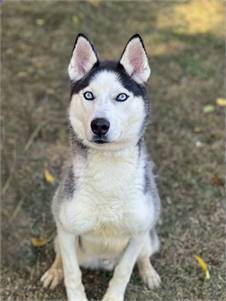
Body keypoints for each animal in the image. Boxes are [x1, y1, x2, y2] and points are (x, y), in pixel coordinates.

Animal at [40, 33, 161, 300]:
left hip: (149, 237)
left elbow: (124, 272)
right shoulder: (67, 231)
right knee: (60, 256)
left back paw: (149, 273)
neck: (109, 171)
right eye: (88, 95)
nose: (99, 125)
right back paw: (55, 271)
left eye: (121, 96)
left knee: (144, 256)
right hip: (59, 236)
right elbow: (72, 273)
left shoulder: (138, 233)